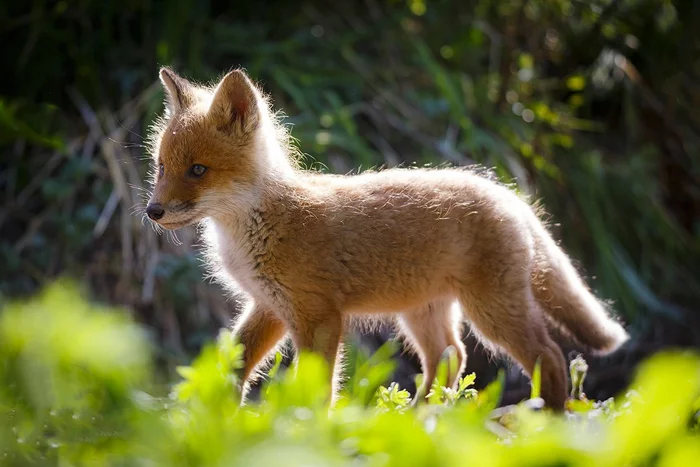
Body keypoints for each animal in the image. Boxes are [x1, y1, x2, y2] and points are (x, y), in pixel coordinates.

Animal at [146, 67, 628, 412]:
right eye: (161, 167)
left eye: (198, 170)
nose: (152, 211)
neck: (258, 227)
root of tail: (507, 193)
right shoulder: (269, 306)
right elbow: (236, 362)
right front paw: (219, 415)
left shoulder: (319, 316)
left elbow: (317, 387)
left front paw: (306, 429)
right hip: (422, 313)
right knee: (451, 357)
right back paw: (419, 418)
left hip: (490, 312)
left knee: (549, 354)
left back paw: (549, 420)